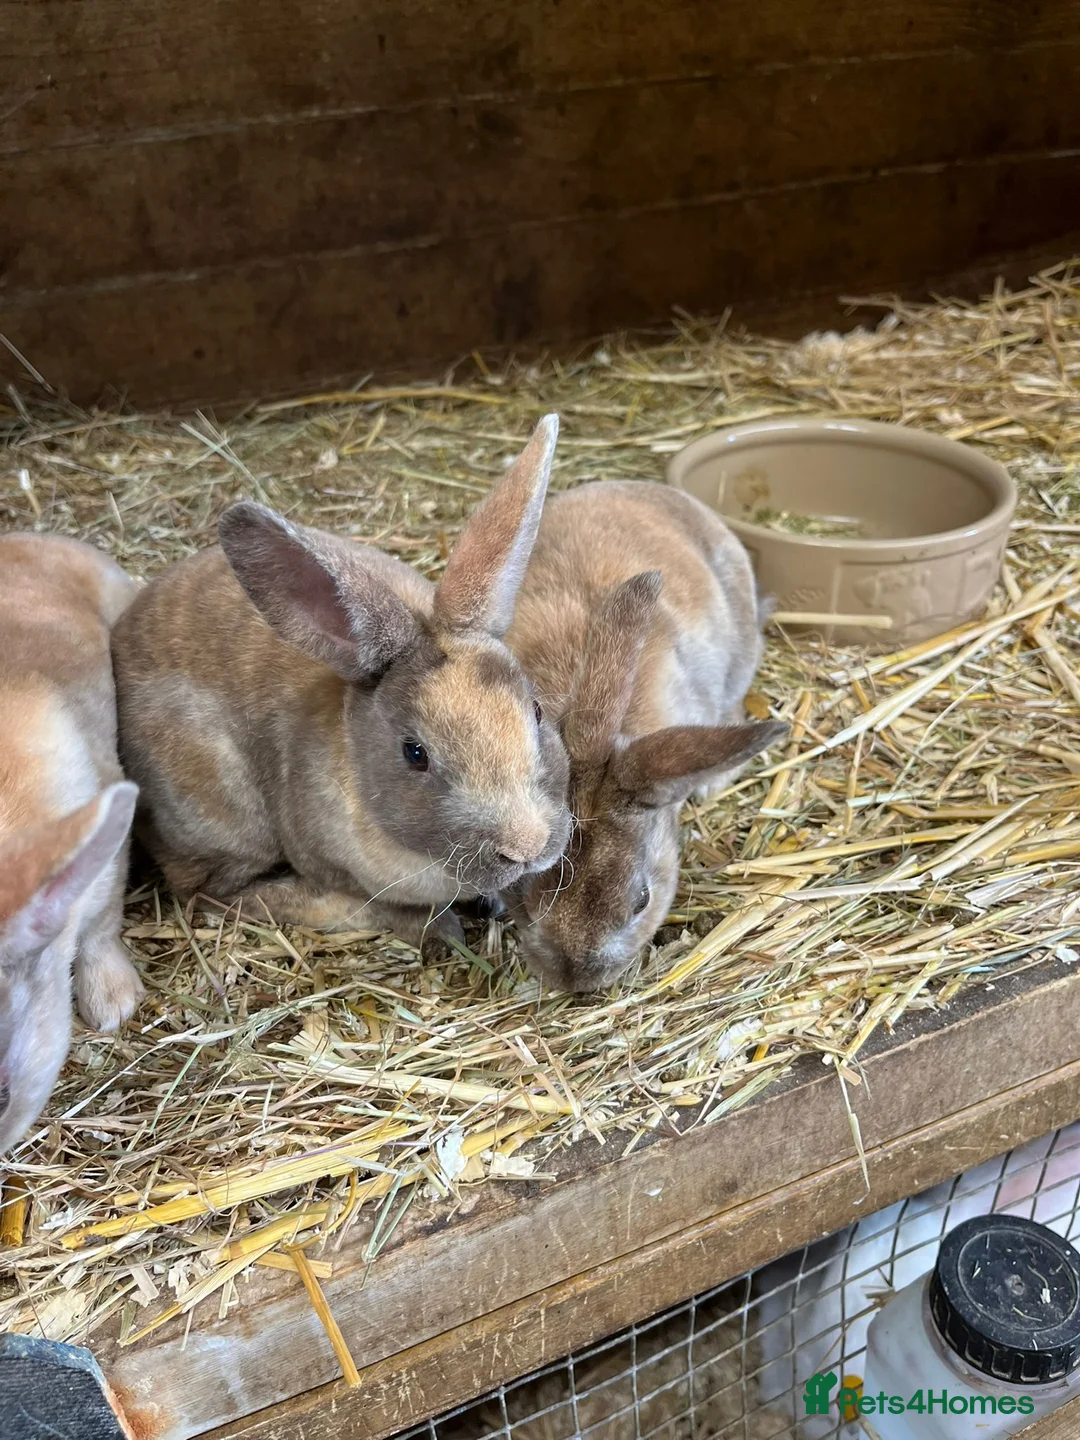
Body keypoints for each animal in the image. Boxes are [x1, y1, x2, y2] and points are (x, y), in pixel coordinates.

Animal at [110, 416, 572, 949]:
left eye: (535, 711)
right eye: (415, 753)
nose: (527, 845)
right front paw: (440, 927)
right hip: (223, 819)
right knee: (211, 893)